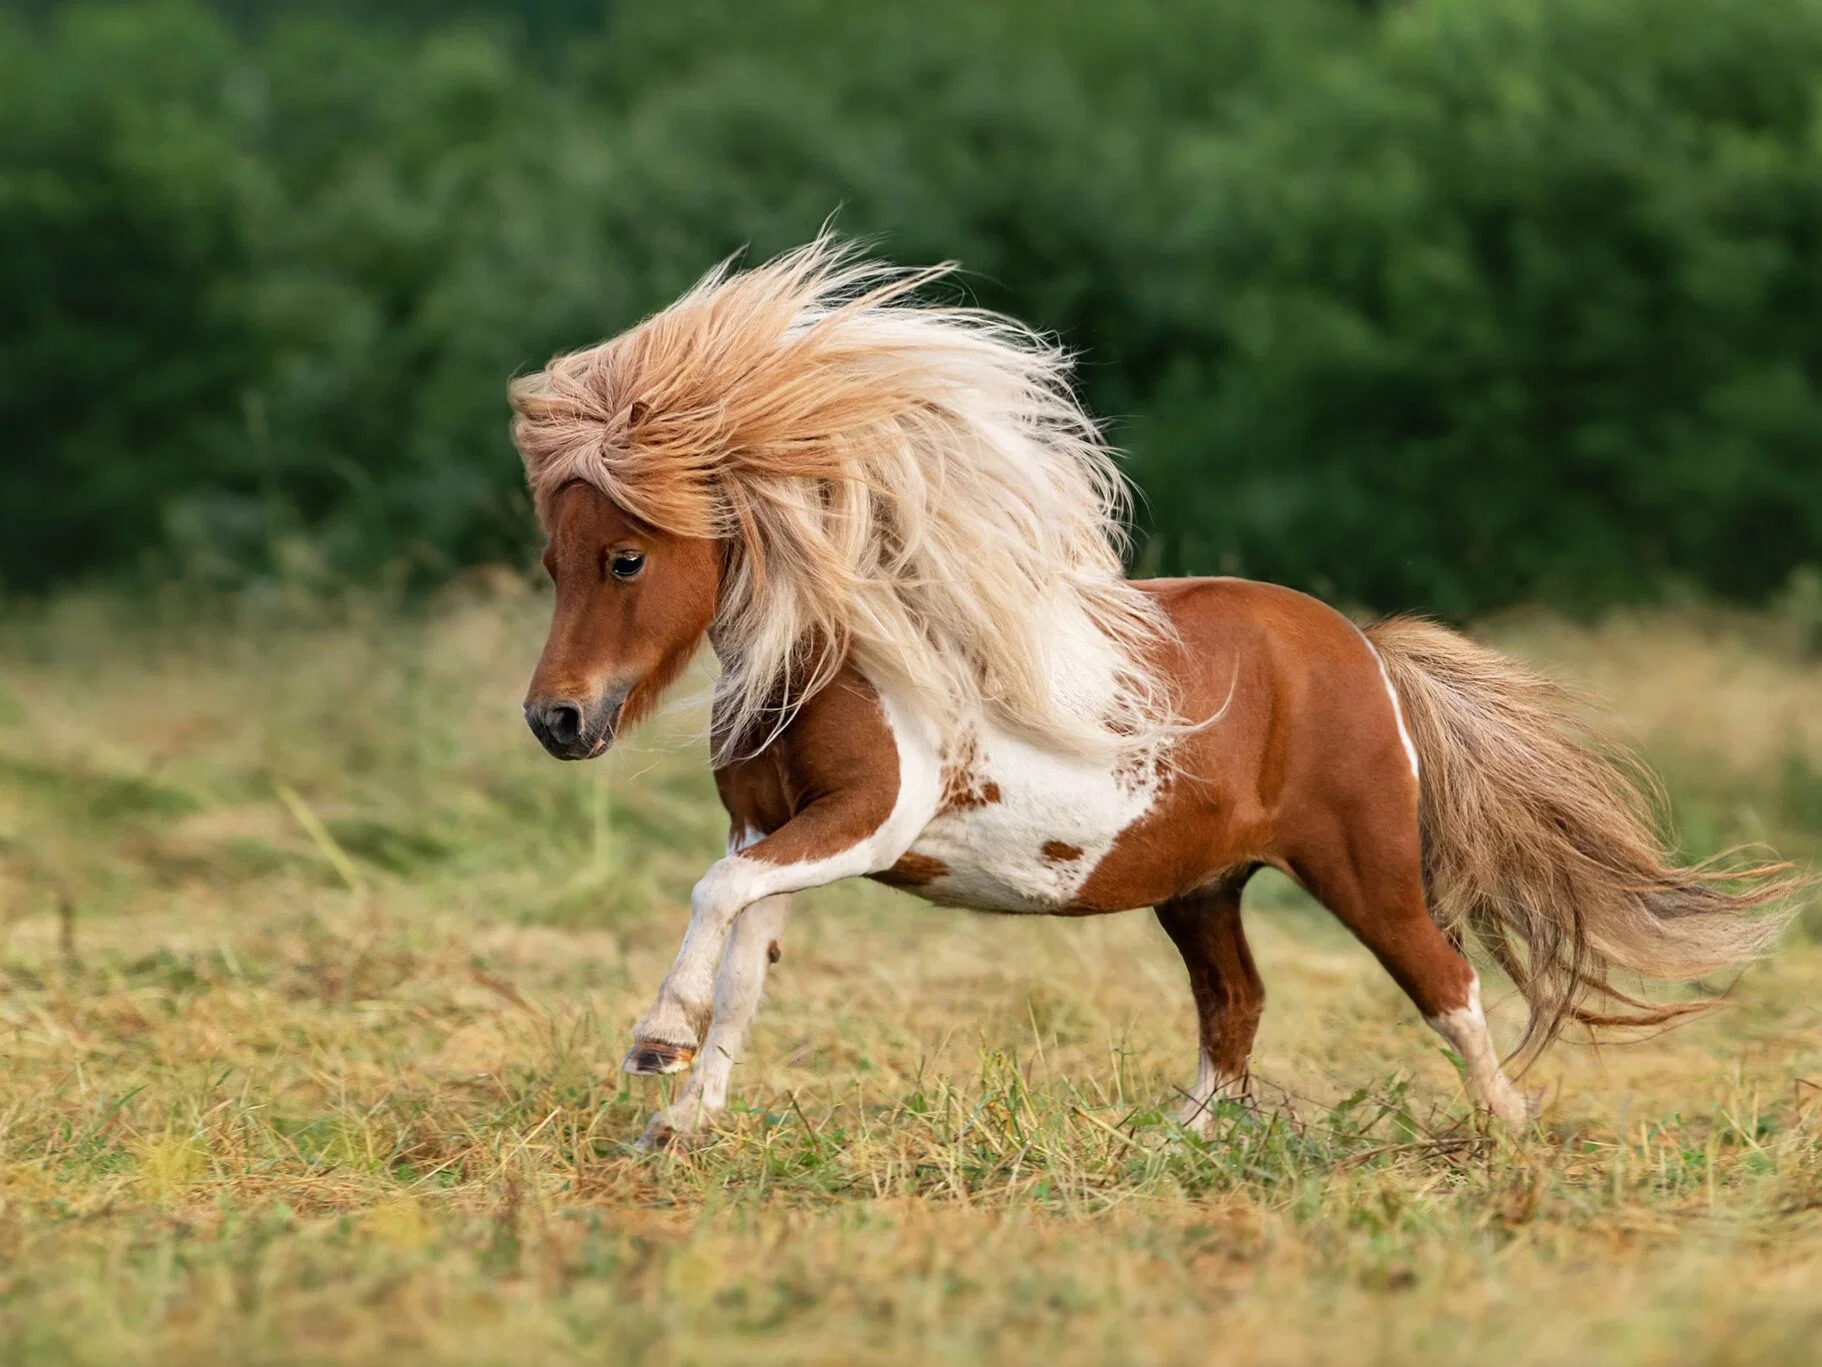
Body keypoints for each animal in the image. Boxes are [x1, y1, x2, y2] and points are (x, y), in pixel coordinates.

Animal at [511, 237, 1800, 1148]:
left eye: (624, 558)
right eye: (551, 558)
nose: (556, 719)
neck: (838, 656)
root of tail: (1363, 649)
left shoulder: (862, 819)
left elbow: (714, 898)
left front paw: (652, 1049)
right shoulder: (773, 829)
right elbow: (741, 959)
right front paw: (678, 1117)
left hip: (1364, 863)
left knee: (1445, 981)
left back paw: (1511, 1134)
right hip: (1203, 886)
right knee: (1236, 1007)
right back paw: (1162, 1144)